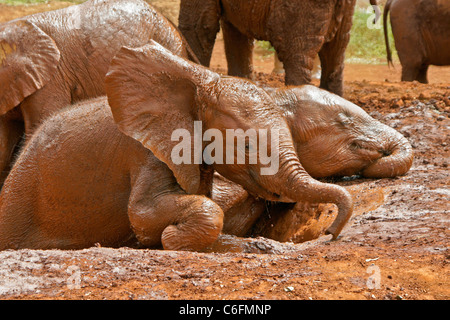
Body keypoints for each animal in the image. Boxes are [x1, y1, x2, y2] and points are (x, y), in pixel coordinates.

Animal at [0, 42, 356, 251]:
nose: (330, 233)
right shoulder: (146, 153)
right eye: (246, 147)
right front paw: (169, 239)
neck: (198, 87)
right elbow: (142, 214)